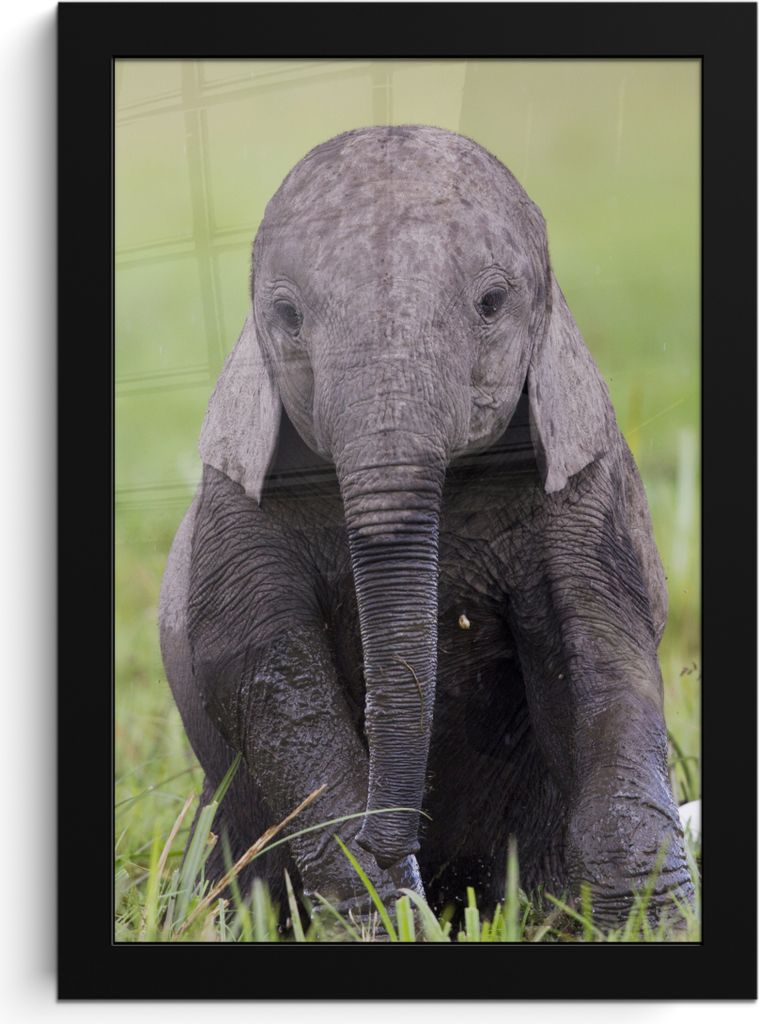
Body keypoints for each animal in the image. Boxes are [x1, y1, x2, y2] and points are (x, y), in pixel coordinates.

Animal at [159, 124, 694, 933]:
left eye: (492, 302)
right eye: (285, 315)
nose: (393, 842)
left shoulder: (593, 487)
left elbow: (603, 650)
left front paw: (648, 927)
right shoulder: (235, 509)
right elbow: (270, 673)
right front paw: (386, 919)